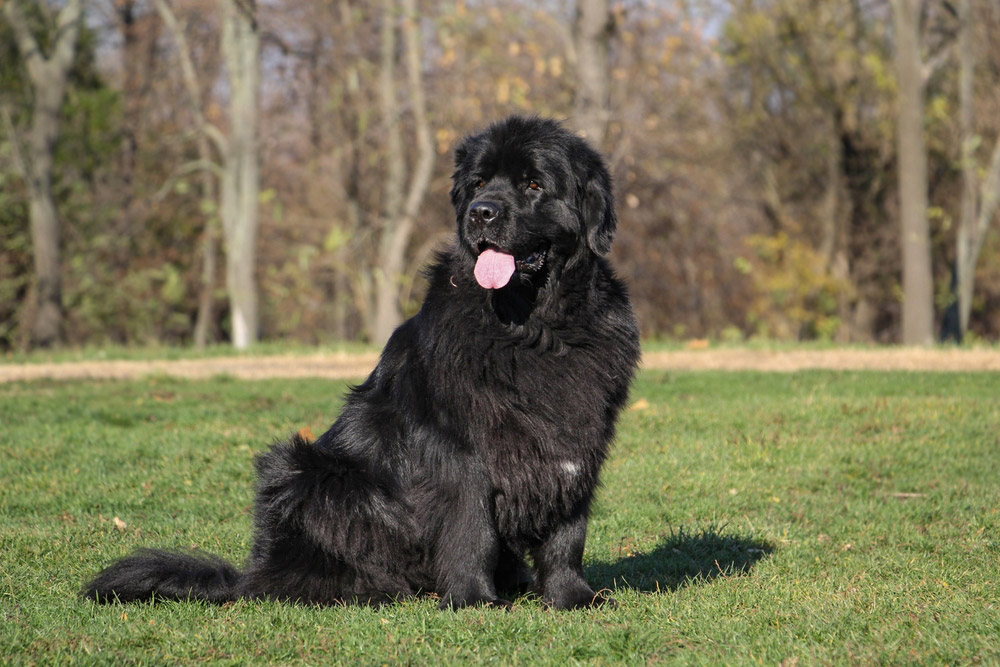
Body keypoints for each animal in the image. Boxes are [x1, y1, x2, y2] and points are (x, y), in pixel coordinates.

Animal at [90, 116, 644, 612]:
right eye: (479, 184)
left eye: (533, 183)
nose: (481, 213)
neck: (535, 331)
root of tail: (250, 574)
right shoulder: (459, 450)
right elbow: (473, 529)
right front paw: (473, 601)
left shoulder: (578, 442)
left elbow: (568, 534)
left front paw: (573, 598)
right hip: (305, 471)